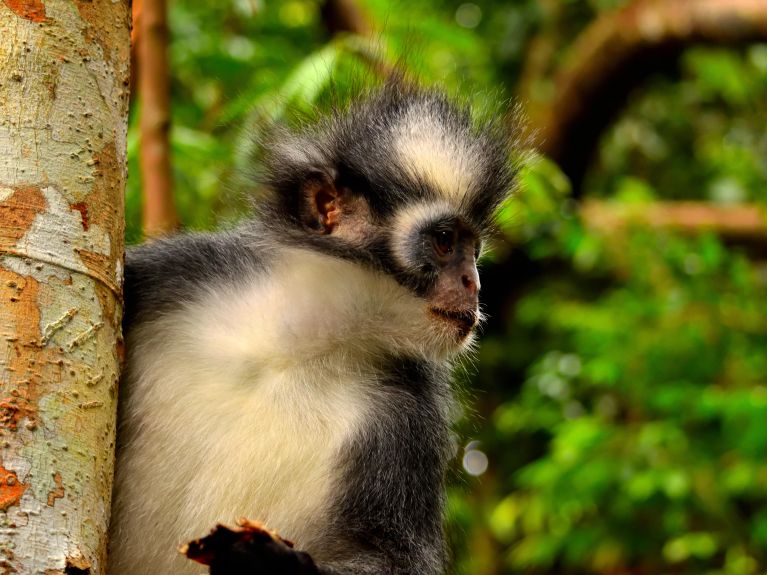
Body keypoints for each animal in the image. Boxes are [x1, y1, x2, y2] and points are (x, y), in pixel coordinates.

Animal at [108, 77, 520, 575]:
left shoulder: (408, 413)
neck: (298, 343)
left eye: (473, 250)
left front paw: (273, 563)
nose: (474, 284)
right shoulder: (186, 272)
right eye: (445, 241)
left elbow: (396, 557)